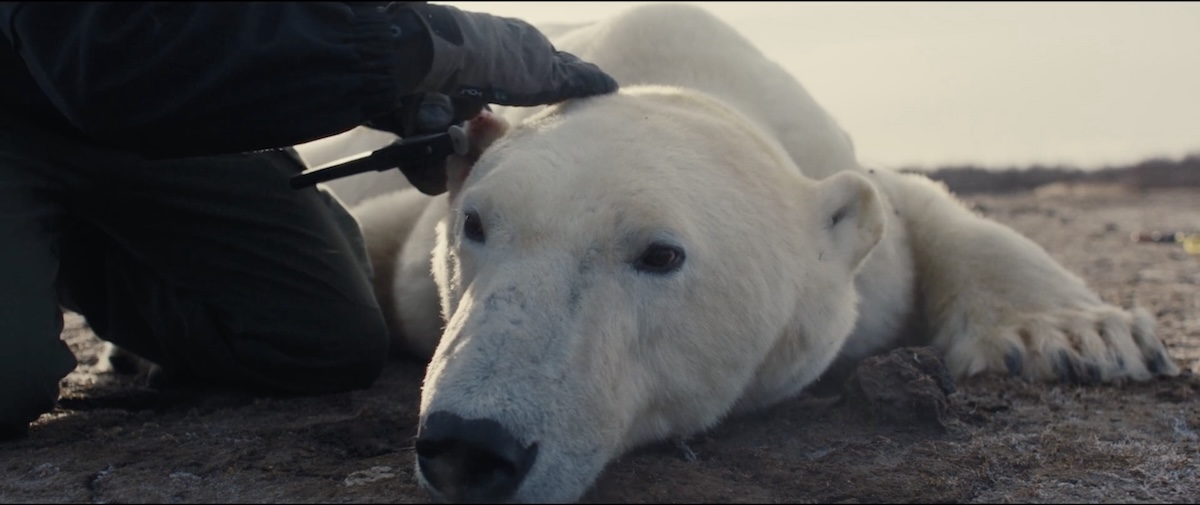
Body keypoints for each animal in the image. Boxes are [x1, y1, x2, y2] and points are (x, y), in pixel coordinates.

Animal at [336, 4, 1180, 503]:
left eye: (660, 254)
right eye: (476, 223)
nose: (471, 446)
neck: (674, 76)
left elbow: (918, 207)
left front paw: (1079, 336)